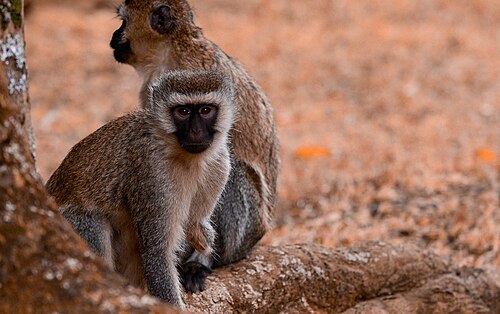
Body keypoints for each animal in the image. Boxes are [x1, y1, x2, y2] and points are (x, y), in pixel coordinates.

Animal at [45, 70, 236, 308]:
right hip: (68, 226)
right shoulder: (152, 175)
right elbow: (156, 253)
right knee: (94, 230)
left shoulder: (220, 162)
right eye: (183, 111)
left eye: (205, 110)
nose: (195, 131)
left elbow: (196, 224)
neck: (187, 158)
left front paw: (201, 238)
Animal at [110, 0, 282, 294]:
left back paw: (201, 262)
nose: (113, 36)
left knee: (230, 170)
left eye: (123, 21)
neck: (175, 50)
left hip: (244, 231)